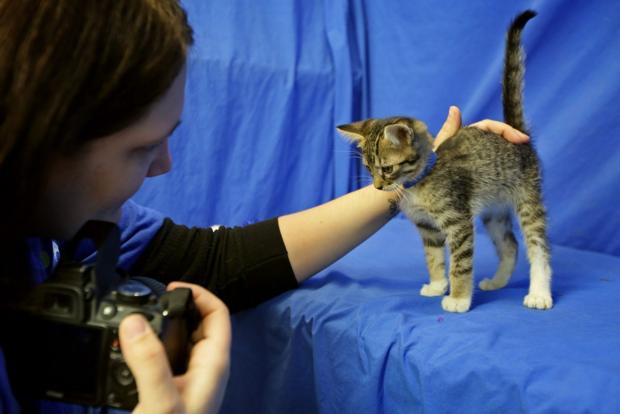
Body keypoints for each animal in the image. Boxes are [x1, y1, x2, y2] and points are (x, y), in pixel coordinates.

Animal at [340, 9, 552, 312]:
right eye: (369, 169)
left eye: (387, 169)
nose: (378, 187)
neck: (418, 183)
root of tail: (517, 132)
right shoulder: (426, 226)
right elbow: (434, 257)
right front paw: (438, 284)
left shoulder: (458, 220)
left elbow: (460, 264)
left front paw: (459, 298)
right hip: (494, 212)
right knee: (510, 244)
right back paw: (498, 281)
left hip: (527, 197)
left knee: (537, 245)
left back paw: (539, 292)